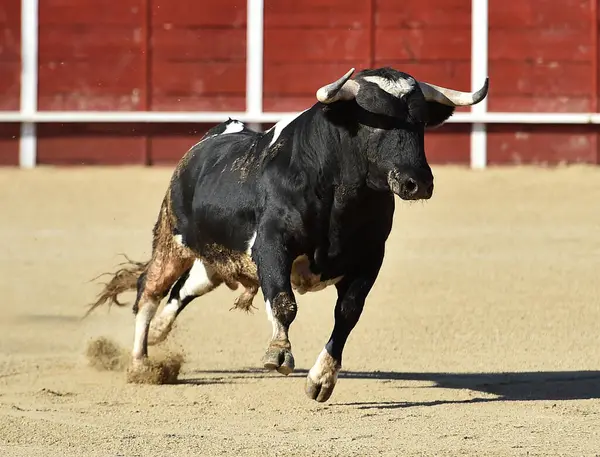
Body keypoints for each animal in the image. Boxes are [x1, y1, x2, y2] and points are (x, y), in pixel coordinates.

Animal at [86, 66, 488, 400]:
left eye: (420, 123)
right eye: (377, 122)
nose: (417, 182)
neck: (342, 200)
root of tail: (214, 136)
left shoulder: (370, 258)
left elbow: (348, 313)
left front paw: (322, 379)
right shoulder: (271, 245)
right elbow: (283, 301)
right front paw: (278, 353)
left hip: (217, 261)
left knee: (184, 289)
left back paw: (157, 335)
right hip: (173, 240)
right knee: (149, 290)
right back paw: (141, 364)